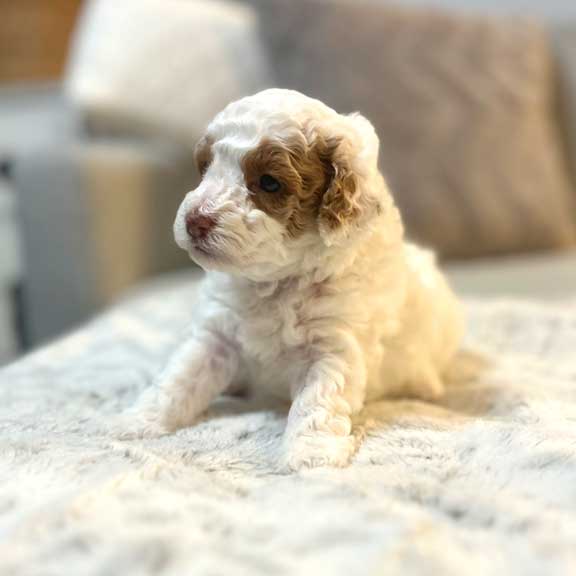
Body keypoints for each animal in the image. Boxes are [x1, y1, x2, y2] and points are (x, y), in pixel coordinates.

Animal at [133, 88, 462, 470]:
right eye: (204, 169)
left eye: (269, 182)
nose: (194, 220)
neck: (275, 283)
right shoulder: (216, 335)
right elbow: (180, 376)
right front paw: (138, 421)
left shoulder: (333, 348)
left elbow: (317, 403)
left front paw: (311, 456)